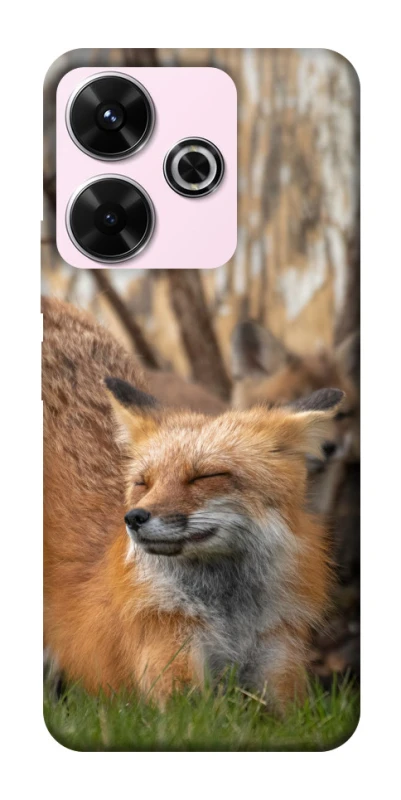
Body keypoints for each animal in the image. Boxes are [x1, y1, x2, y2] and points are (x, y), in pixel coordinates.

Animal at [43, 297, 344, 711]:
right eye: (143, 482)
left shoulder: (280, 669)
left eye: (204, 476)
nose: (133, 518)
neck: (229, 618)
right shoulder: (171, 669)